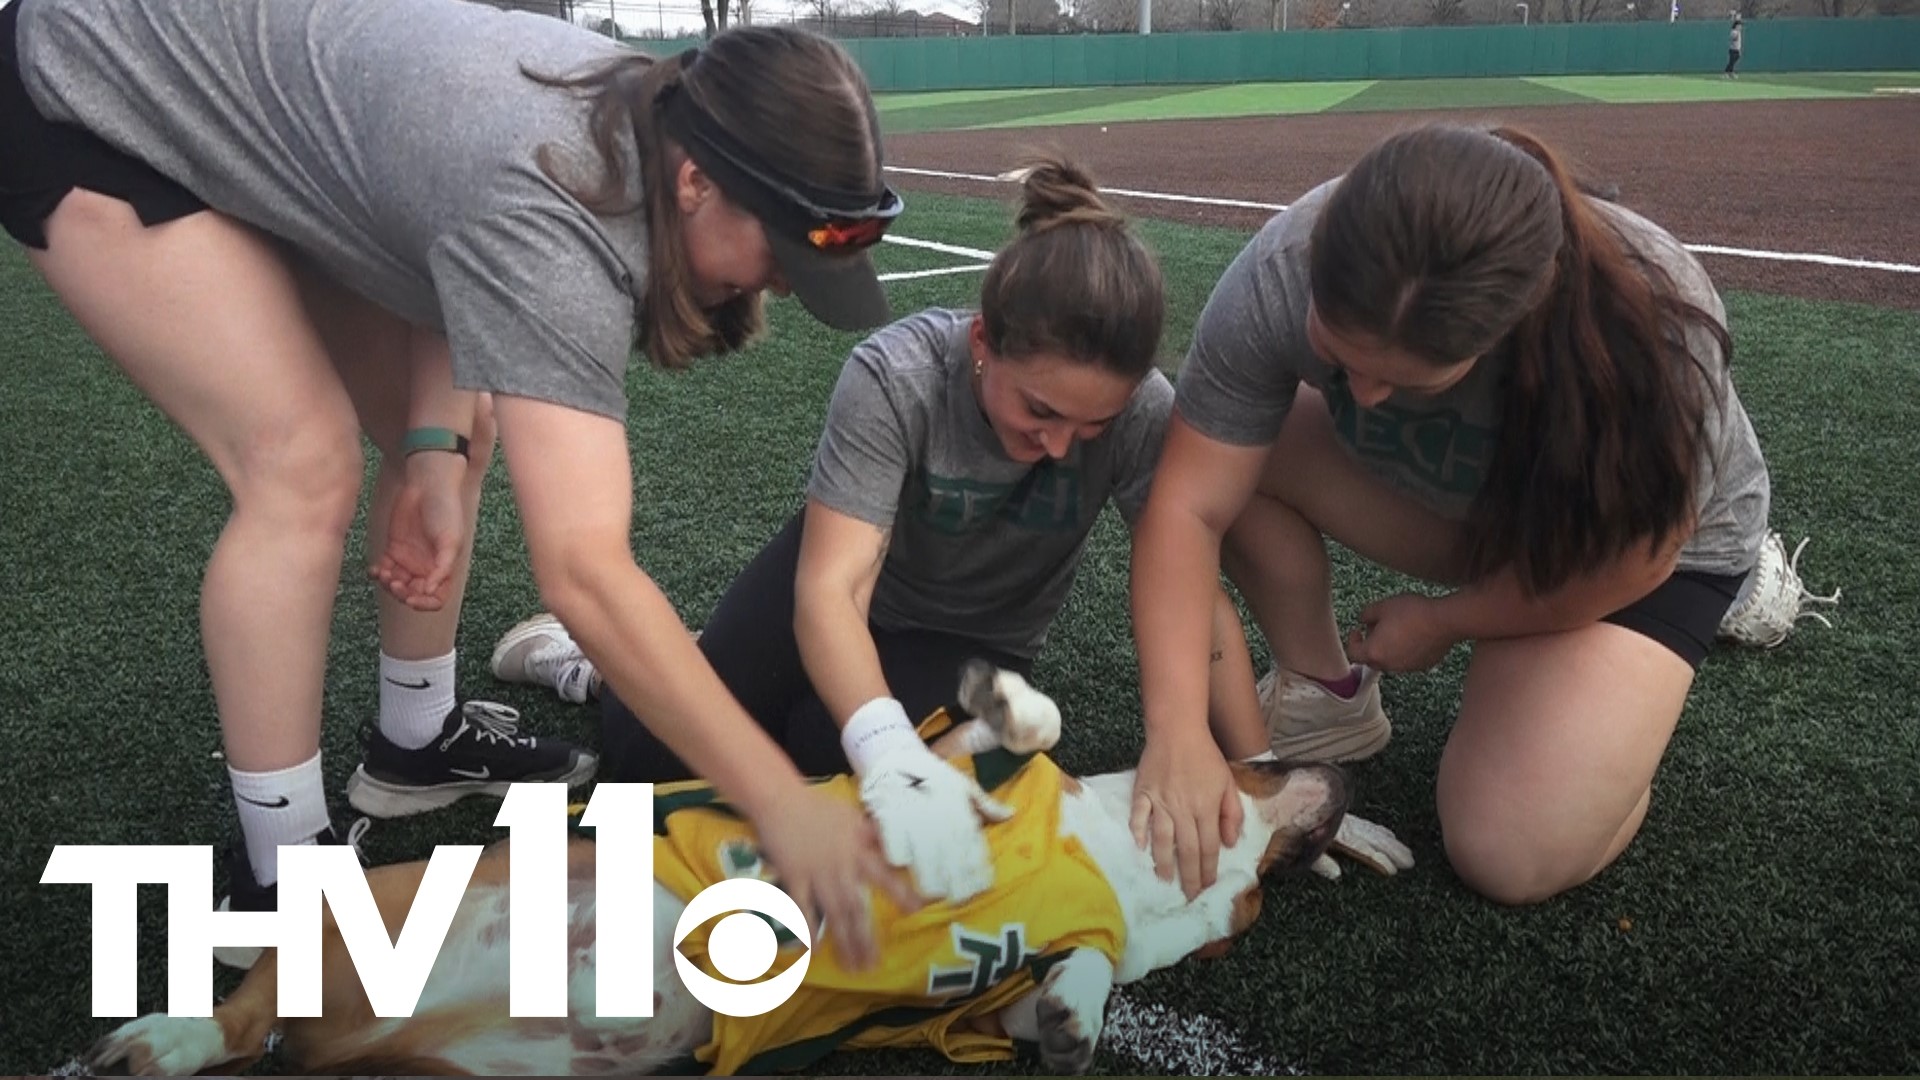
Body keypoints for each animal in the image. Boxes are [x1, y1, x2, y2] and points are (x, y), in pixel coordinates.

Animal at [86, 661, 1413, 1068]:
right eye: (1254, 757)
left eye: (1254, 911)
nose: (1349, 790)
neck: (1128, 867)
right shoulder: (935, 766)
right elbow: (988, 736)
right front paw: (1014, 707)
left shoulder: (1004, 1002)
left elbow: (1069, 985)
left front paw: (1082, 1024)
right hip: (408, 893)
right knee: (244, 1011)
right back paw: (163, 1039)